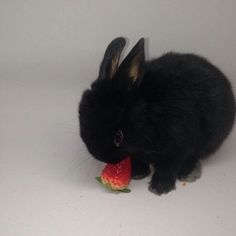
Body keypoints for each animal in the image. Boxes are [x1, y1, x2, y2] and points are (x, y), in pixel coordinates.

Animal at [78, 37, 235, 195]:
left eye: (118, 137)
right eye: (83, 124)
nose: (102, 157)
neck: (148, 115)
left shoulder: (178, 145)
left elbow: (168, 167)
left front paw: (159, 187)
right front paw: (138, 173)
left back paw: (188, 172)